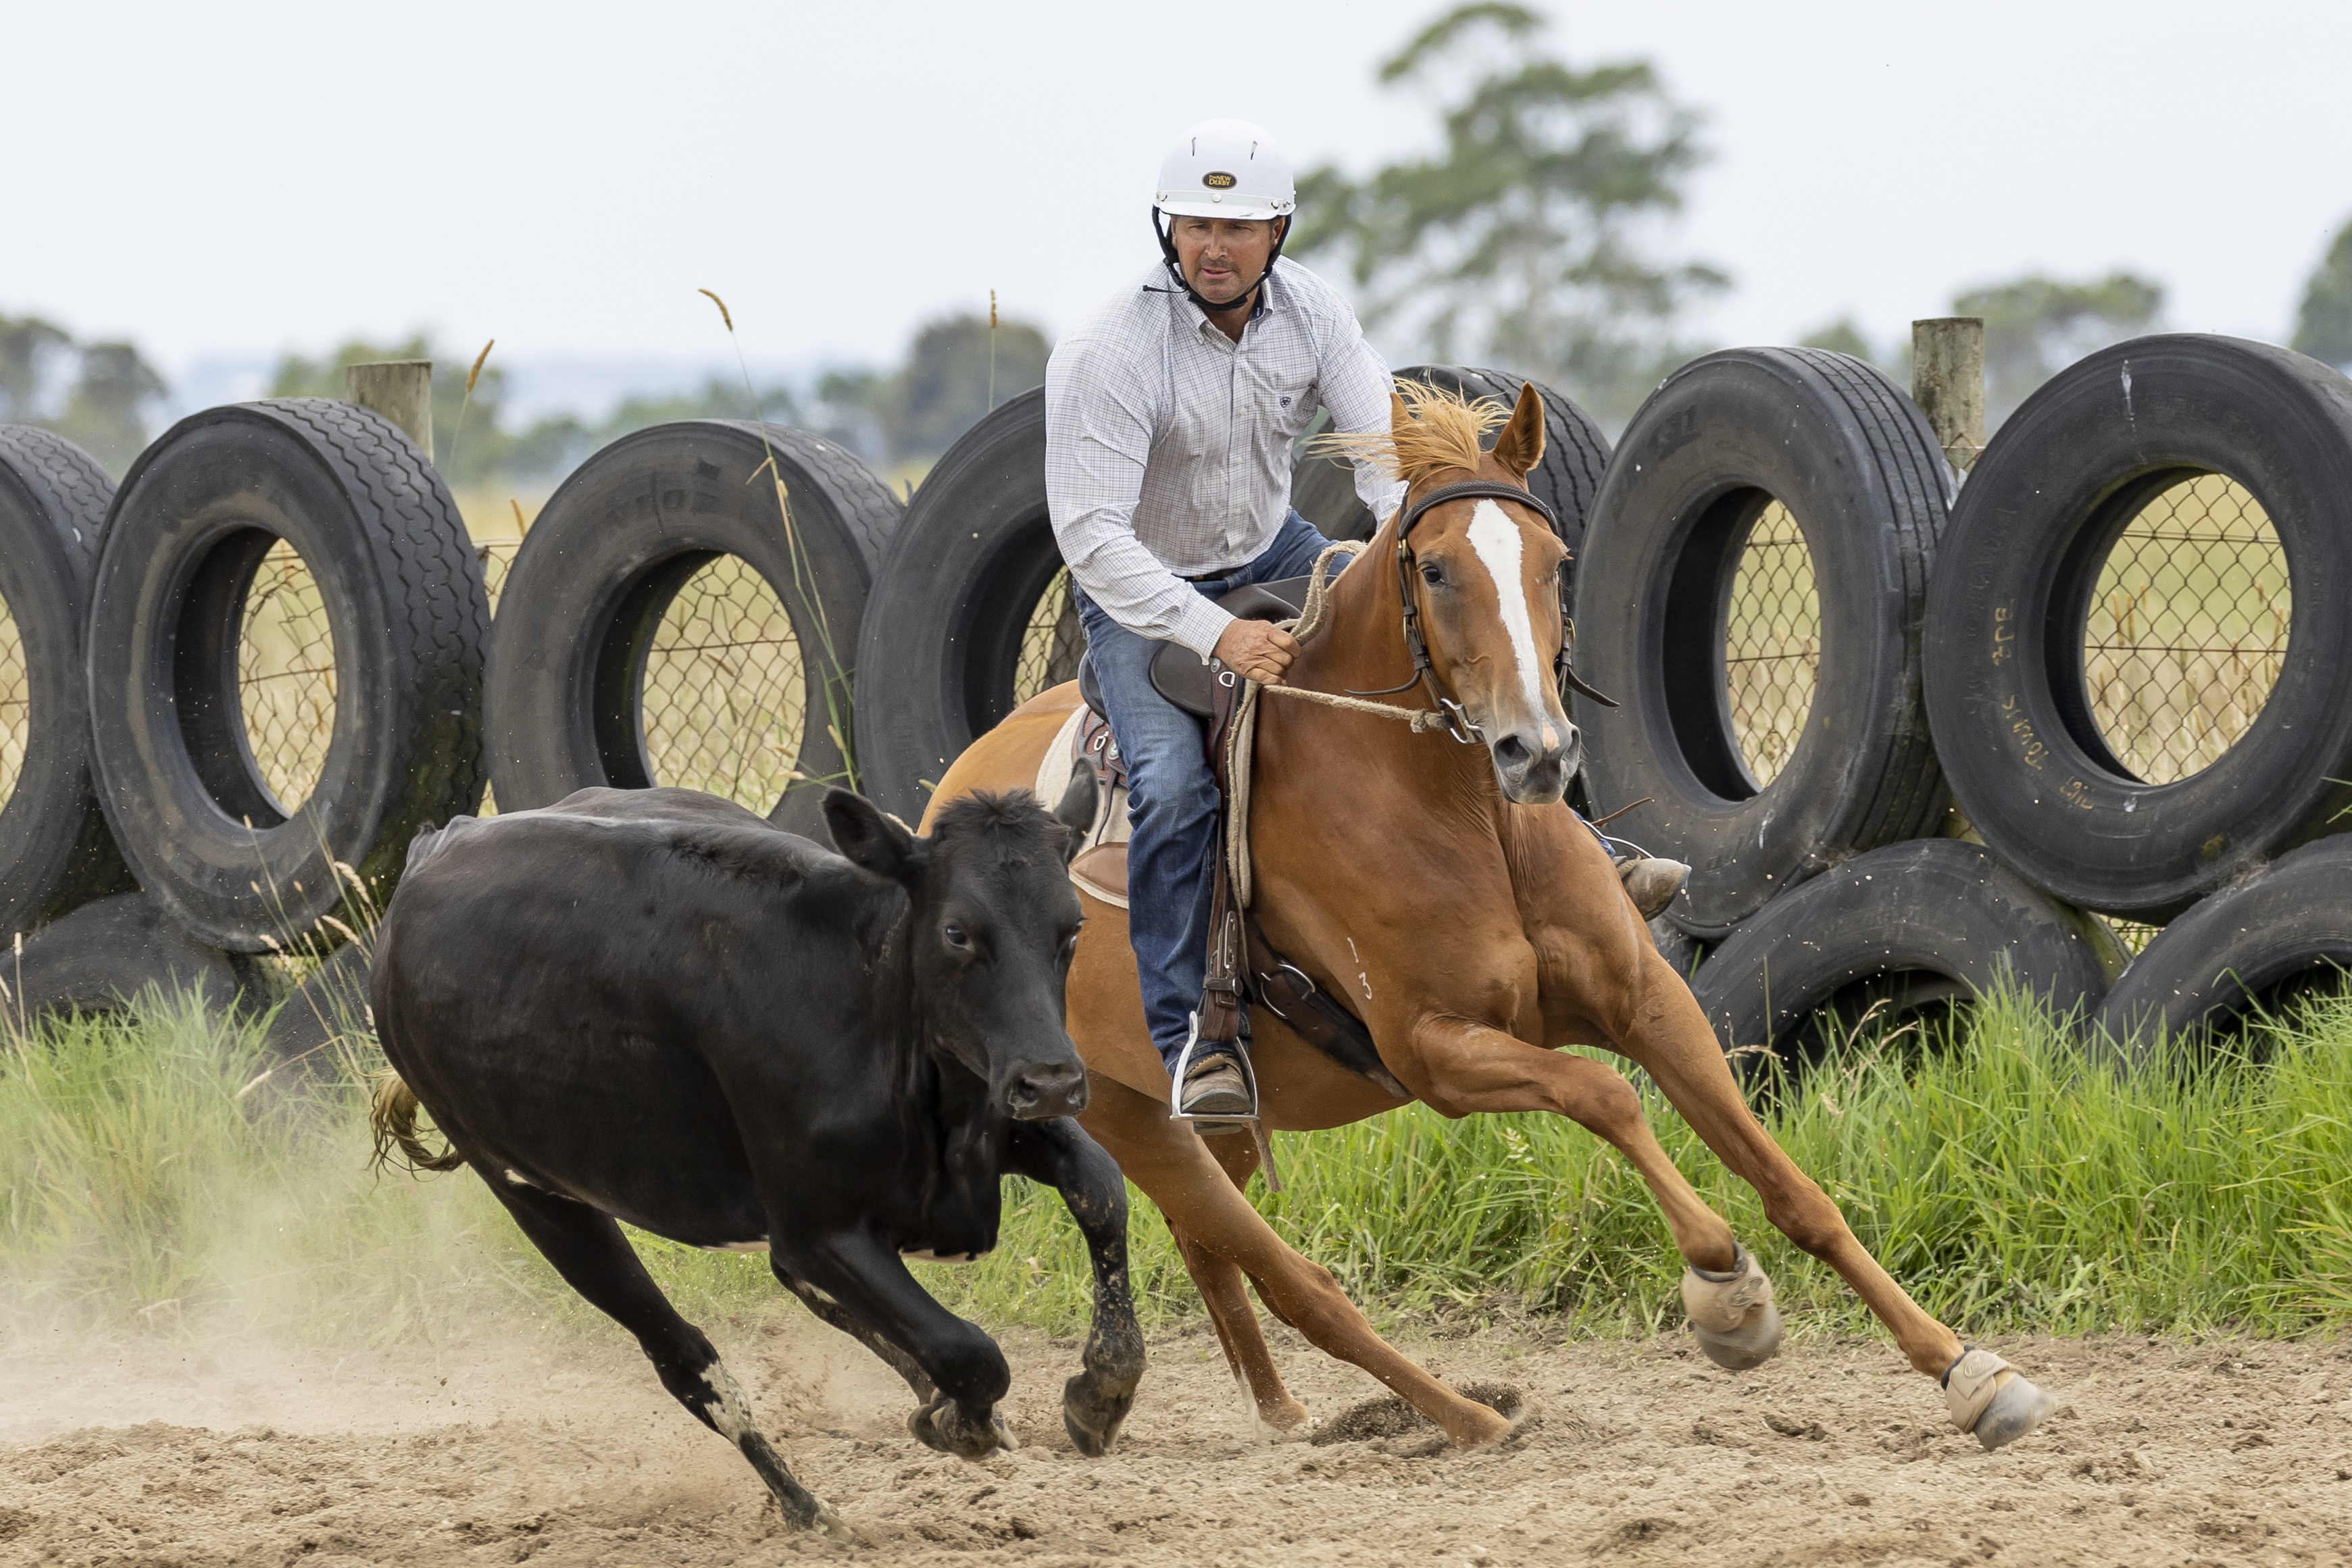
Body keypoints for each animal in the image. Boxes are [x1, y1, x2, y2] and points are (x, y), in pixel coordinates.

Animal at [365, 780, 1144, 1535]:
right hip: (534, 1192)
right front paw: (962, 1421)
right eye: (957, 930)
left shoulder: (988, 1122)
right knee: (687, 1361)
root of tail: (441, 838)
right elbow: (969, 1349)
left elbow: (1101, 1189)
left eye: (1073, 927)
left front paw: (1100, 1390)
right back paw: (809, 1508)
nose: (1052, 1079)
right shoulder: (820, 1226)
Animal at [924, 378, 2059, 1452]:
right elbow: (1607, 1097)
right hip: (1135, 1117)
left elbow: (1792, 1187)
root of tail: (946, 804)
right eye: (1434, 571)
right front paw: (1724, 1291)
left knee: (1210, 1251)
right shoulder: (1438, 1051)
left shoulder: (1645, 1000)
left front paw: (1970, 1372)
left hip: (1227, 1132)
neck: (1459, 815)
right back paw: (1464, 1419)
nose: (1537, 751)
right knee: (1294, 1281)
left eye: (1557, 562)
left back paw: (1212, 1404)